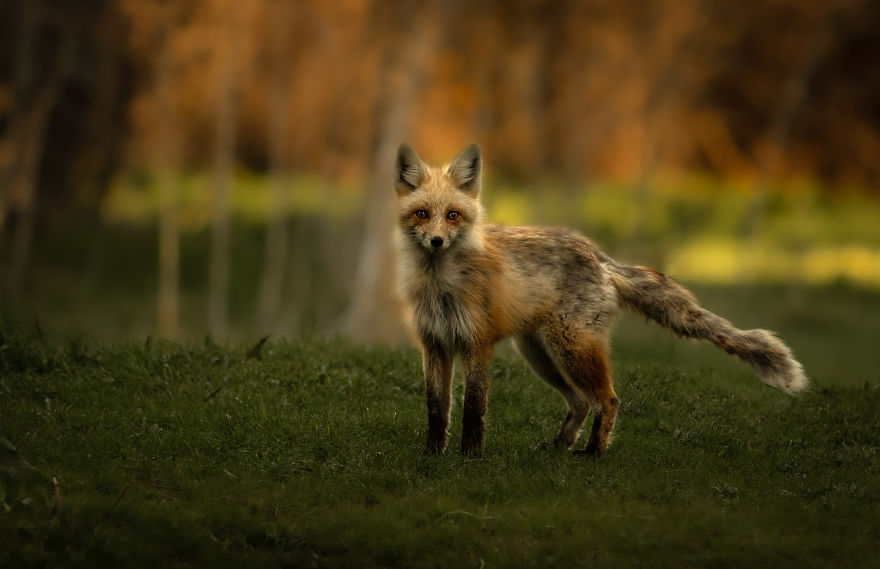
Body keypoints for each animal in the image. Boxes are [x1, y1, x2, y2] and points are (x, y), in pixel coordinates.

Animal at [394, 142, 807, 458]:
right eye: (422, 214)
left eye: (453, 215)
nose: (436, 242)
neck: (442, 286)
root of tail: (598, 255)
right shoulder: (434, 346)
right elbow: (436, 408)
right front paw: (433, 455)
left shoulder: (477, 345)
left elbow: (473, 408)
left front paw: (470, 457)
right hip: (541, 355)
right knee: (579, 402)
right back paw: (559, 446)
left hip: (570, 350)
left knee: (607, 400)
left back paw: (593, 454)